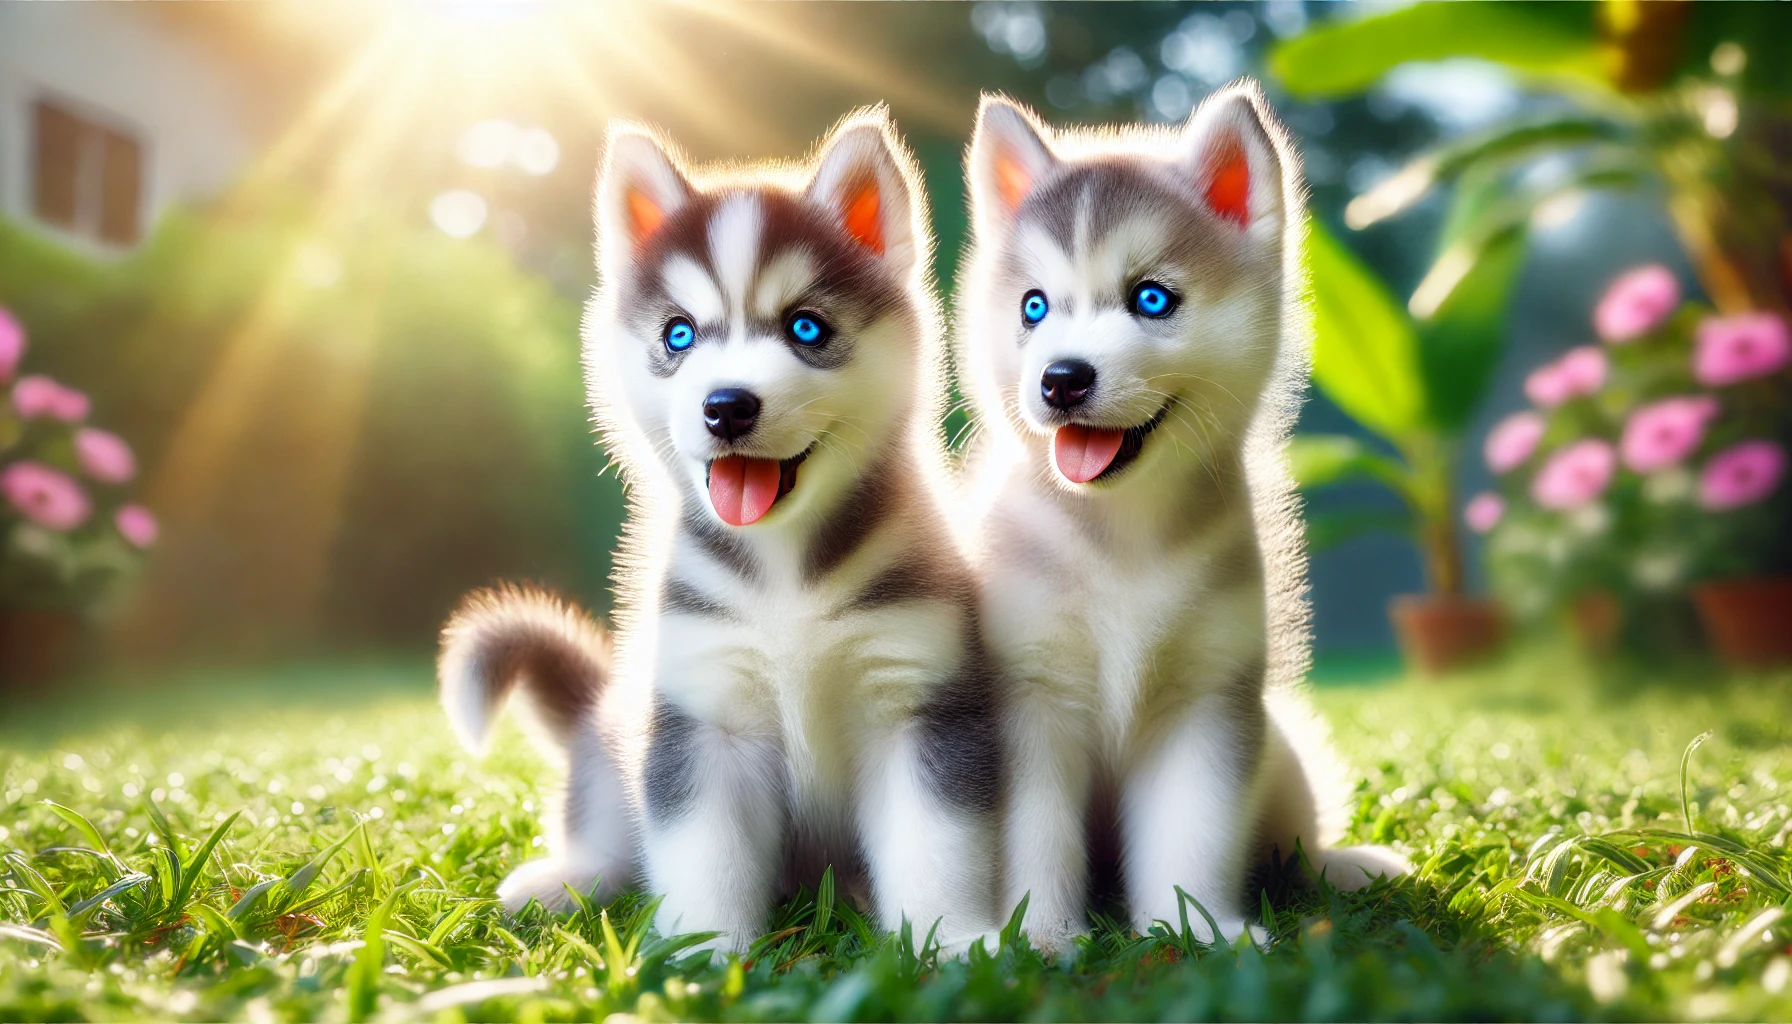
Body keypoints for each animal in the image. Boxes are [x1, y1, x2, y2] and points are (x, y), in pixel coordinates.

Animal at [960, 82, 1404, 954]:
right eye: (1034, 307)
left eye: (1151, 299)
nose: (1062, 378)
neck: (1121, 536)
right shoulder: (1029, 699)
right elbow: (1037, 837)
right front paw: (1044, 940)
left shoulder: (1206, 697)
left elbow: (1192, 834)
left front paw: (1199, 930)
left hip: (1280, 752)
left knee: (1294, 838)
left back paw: (1345, 866)